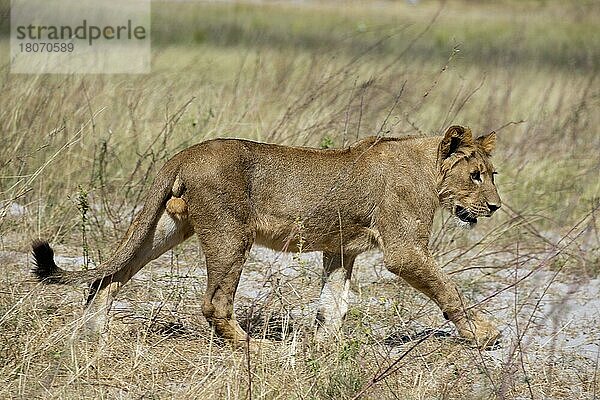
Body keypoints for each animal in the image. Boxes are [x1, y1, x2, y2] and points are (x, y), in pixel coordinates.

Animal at [31, 124, 502, 346]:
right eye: (476, 176)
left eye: (492, 175)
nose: (495, 207)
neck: (428, 169)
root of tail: (184, 153)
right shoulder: (404, 250)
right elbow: (449, 289)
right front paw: (483, 334)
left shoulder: (340, 250)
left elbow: (333, 305)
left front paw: (324, 349)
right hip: (230, 235)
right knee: (214, 302)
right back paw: (251, 347)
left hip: (165, 228)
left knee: (109, 277)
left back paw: (92, 336)